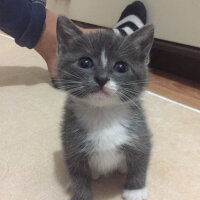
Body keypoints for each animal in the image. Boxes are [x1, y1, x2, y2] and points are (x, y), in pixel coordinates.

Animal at [55, 15, 153, 200]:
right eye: (85, 62)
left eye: (121, 67)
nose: (101, 78)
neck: (103, 115)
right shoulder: (71, 144)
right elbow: (78, 174)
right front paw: (80, 193)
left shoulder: (140, 133)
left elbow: (140, 160)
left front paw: (135, 190)